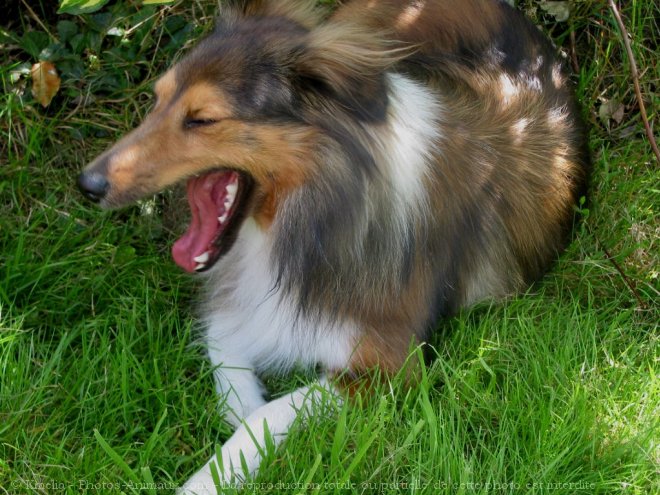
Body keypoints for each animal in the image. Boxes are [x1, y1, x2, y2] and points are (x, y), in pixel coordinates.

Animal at [77, 0, 588, 492]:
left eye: (202, 120)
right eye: (157, 101)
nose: (88, 184)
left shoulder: (389, 368)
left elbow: (265, 416)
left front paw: (211, 478)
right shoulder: (238, 311)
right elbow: (234, 376)